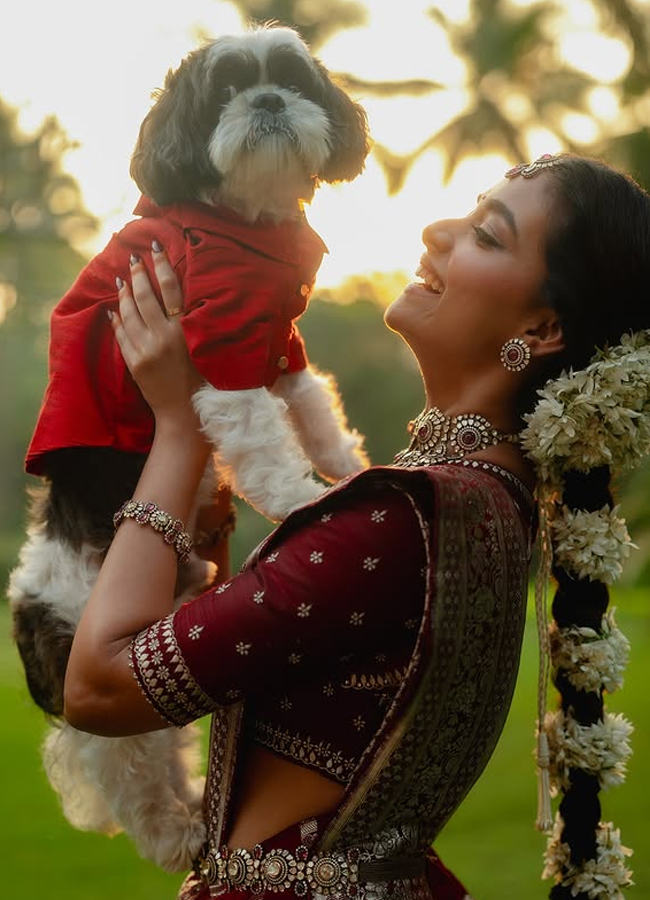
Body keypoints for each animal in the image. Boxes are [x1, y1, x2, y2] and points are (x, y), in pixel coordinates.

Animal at [7, 24, 368, 876]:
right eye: (226, 90)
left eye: (291, 79)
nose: (266, 100)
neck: (249, 228)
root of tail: (28, 606)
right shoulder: (221, 342)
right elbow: (262, 433)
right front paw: (306, 497)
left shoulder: (281, 342)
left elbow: (311, 406)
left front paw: (347, 465)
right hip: (92, 658)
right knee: (130, 768)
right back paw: (174, 833)